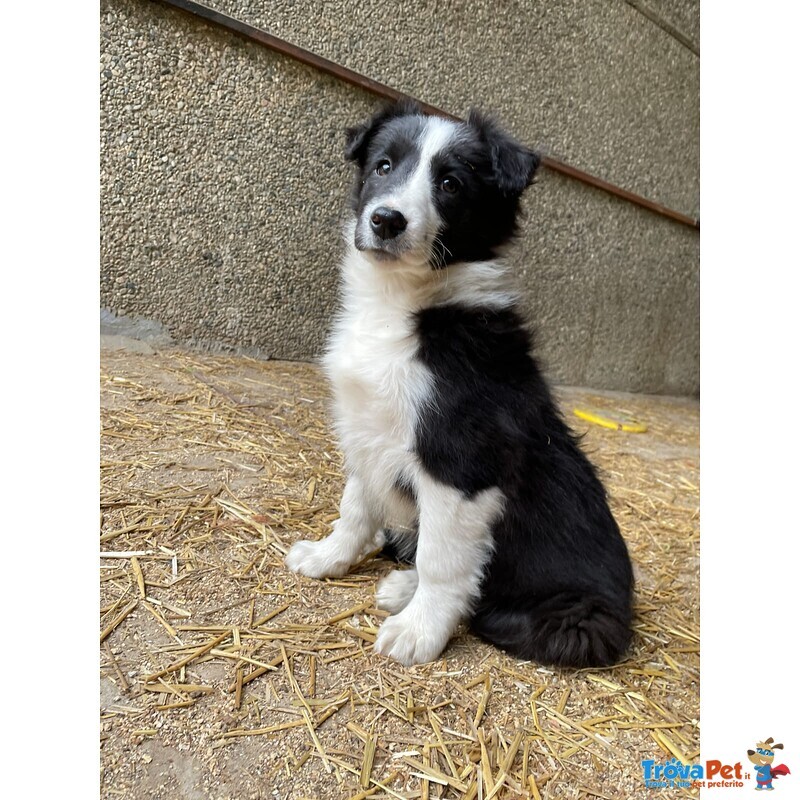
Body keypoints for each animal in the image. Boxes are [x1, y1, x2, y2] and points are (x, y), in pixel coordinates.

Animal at [284, 101, 636, 668]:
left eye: (450, 184)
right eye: (384, 166)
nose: (386, 220)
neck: (402, 302)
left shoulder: (461, 463)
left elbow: (441, 558)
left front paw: (419, 632)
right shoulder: (367, 430)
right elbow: (355, 507)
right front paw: (327, 557)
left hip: (570, 615)